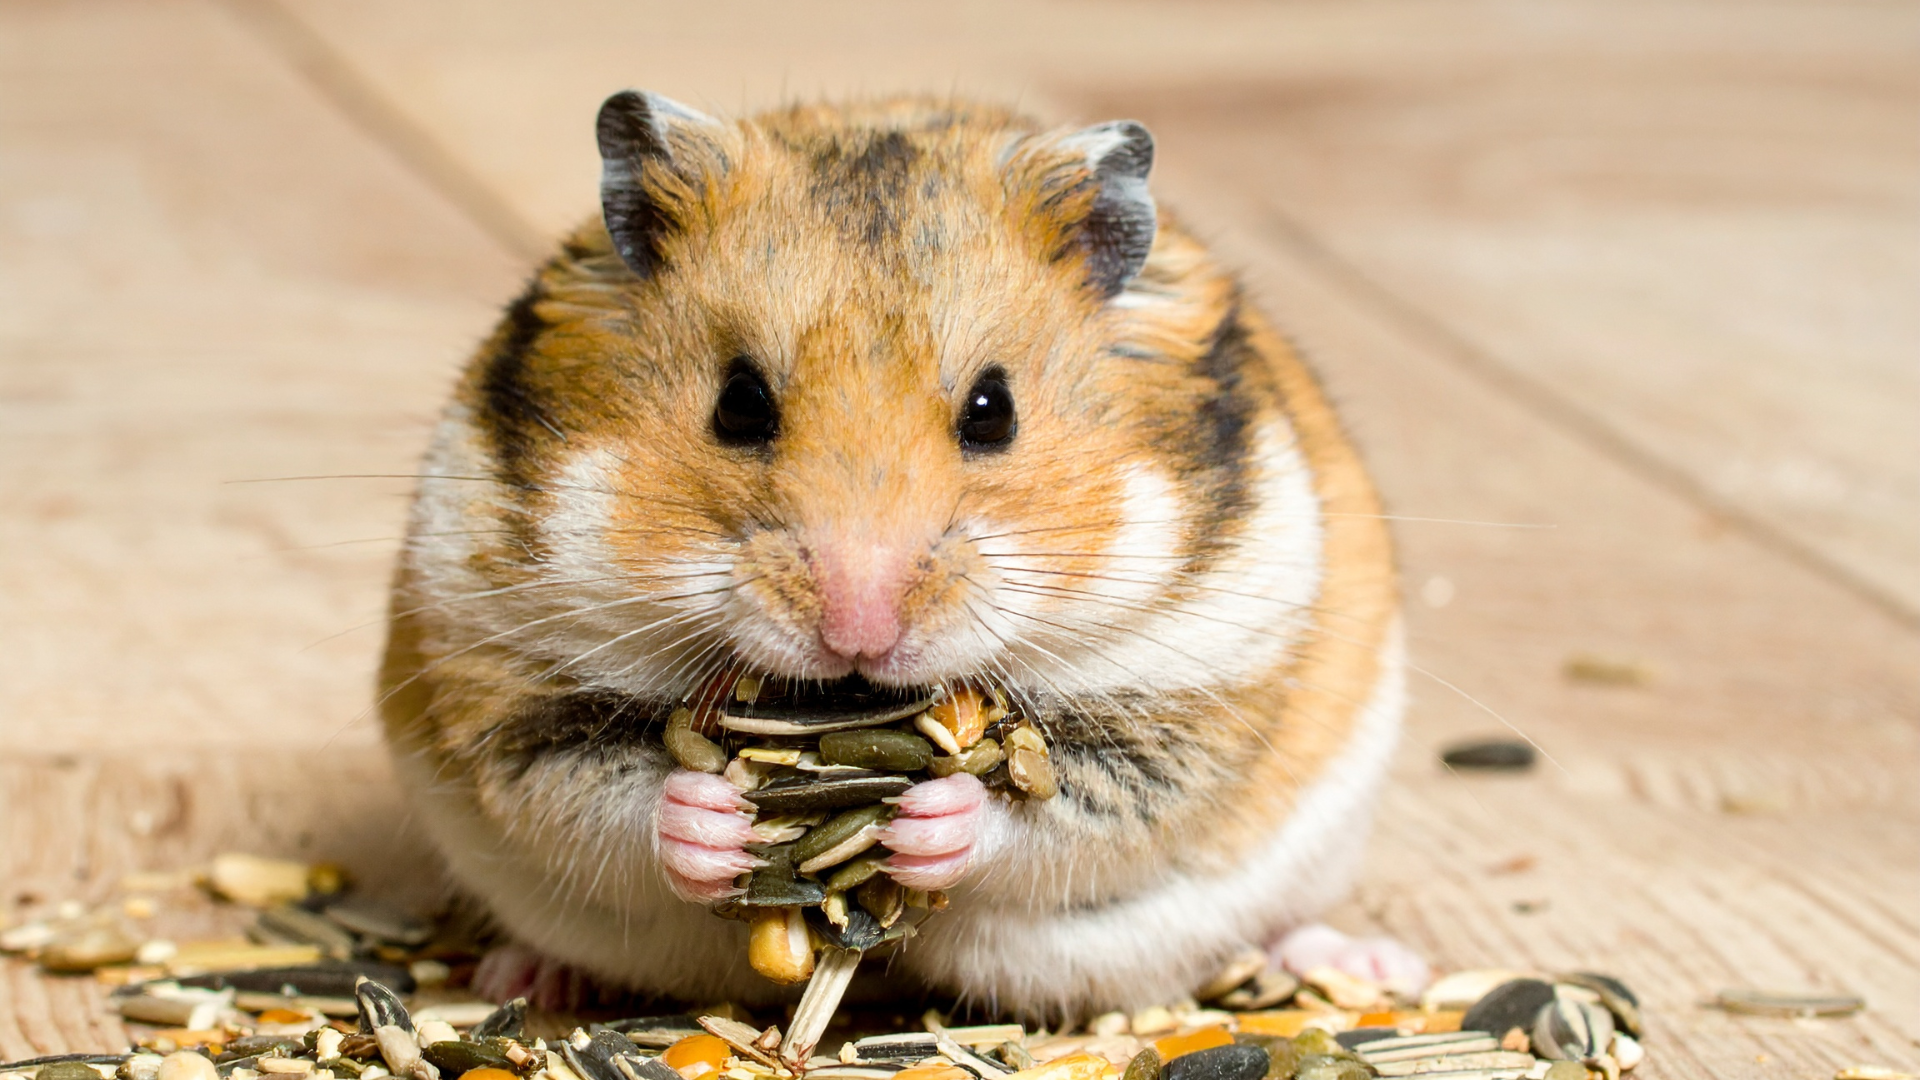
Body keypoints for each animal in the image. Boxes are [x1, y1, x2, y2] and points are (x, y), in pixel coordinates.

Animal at [378, 92, 1415, 1018]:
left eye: (993, 410)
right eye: (739, 404)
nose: (857, 631)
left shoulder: (1188, 703)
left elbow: (1053, 811)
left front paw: (927, 822)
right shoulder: (510, 681)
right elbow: (603, 796)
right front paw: (716, 823)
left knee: (1276, 924)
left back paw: (1364, 965)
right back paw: (519, 977)